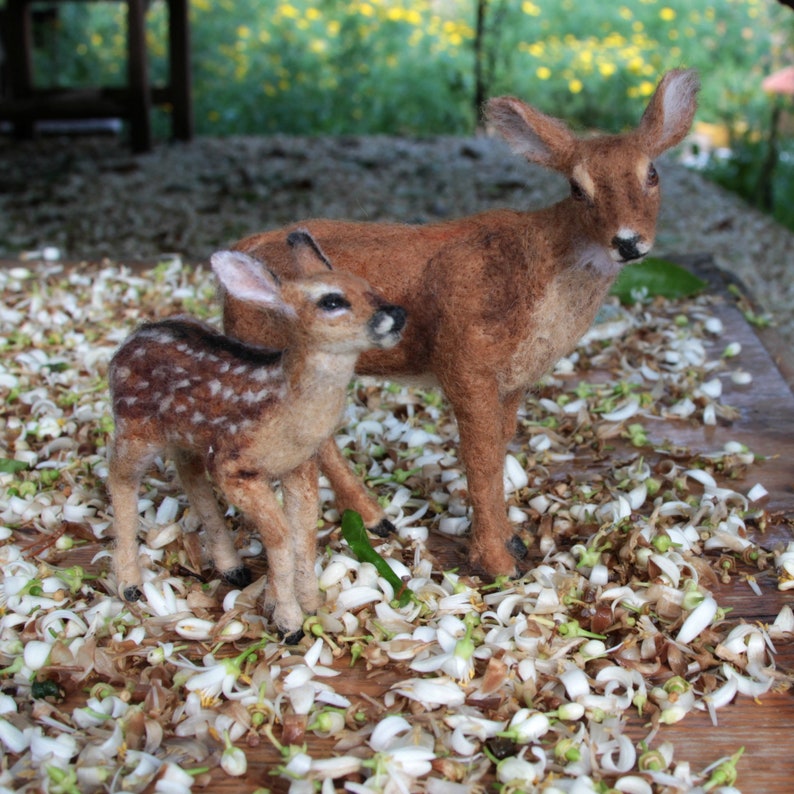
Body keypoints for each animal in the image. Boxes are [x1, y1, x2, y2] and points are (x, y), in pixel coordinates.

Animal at [108, 229, 406, 636]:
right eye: (332, 301)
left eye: (369, 286)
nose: (397, 314)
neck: (283, 409)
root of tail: (128, 342)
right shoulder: (236, 467)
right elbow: (280, 534)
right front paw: (289, 622)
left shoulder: (299, 465)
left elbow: (302, 528)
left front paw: (310, 603)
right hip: (135, 424)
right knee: (120, 478)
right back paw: (130, 586)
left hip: (188, 434)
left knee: (188, 472)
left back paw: (231, 567)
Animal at [223, 68, 700, 576]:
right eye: (577, 188)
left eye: (652, 173)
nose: (628, 242)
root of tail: (239, 252)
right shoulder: (465, 357)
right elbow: (481, 457)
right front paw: (497, 562)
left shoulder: (513, 380)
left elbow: (500, 445)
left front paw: (510, 542)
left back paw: (376, 519)